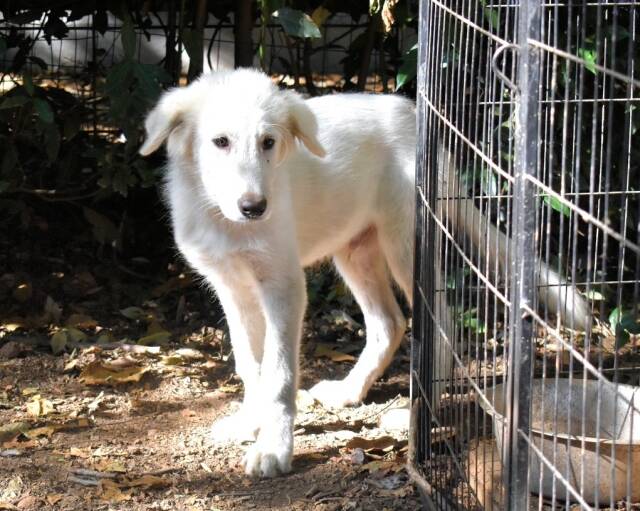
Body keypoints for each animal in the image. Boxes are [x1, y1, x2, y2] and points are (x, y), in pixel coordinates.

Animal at [139, 68, 590, 478]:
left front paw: (274, 448)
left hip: (405, 245)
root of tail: (413, 117)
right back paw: (350, 391)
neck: (224, 220)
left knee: (440, 322)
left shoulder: (284, 285)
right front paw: (250, 422)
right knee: (388, 323)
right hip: (355, 251)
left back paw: (415, 412)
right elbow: (252, 367)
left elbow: (280, 373)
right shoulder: (233, 287)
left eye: (268, 142)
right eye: (220, 142)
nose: (254, 207)